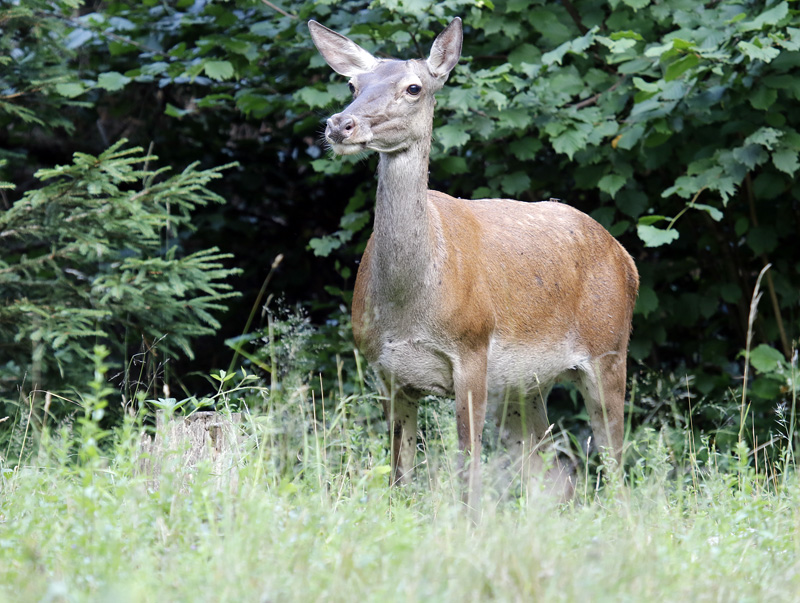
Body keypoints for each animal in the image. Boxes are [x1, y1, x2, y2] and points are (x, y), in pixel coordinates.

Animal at [306, 16, 636, 512]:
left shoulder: (472, 350)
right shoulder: (386, 372)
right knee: (554, 474)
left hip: (609, 349)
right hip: (525, 385)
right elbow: (399, 477)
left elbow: (468, 470)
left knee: (615, 466)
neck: (411, 303)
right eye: (352, 83)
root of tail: (627, 258)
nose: (340, 124)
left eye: (414, 87)